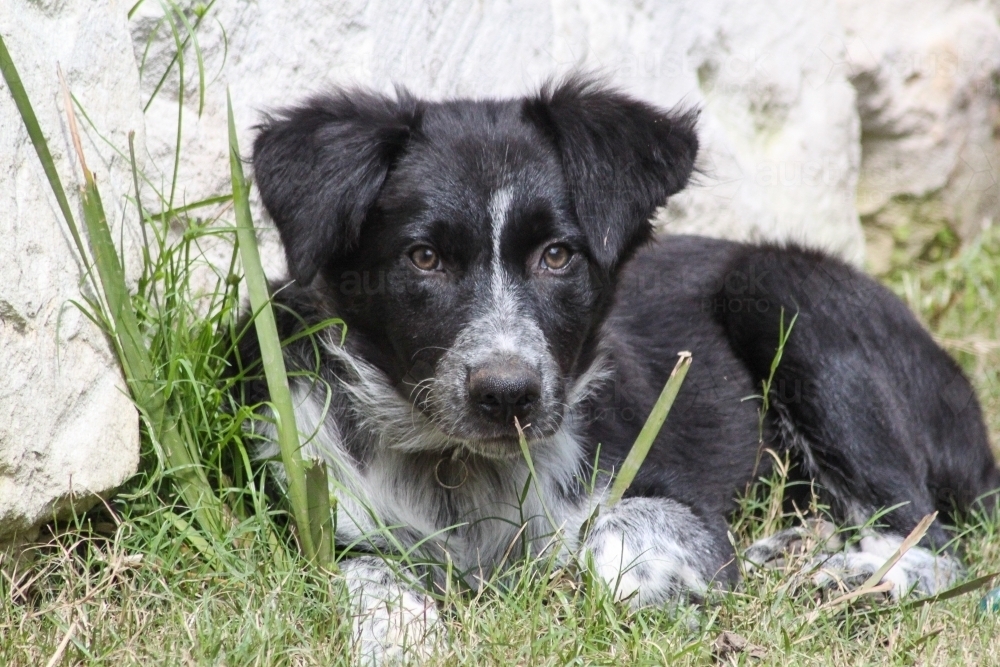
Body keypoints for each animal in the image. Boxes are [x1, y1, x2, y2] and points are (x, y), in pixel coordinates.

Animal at [236, 77, 1000, 656]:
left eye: (557, 256)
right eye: (423, 257)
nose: (507, 395)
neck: (462, 471)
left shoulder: (669, 492)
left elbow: (612, 536)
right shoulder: (321, 506)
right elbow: (366, 571)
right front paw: (401, 638)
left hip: (791, 295)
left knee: (930, 536)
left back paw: (848, 578)